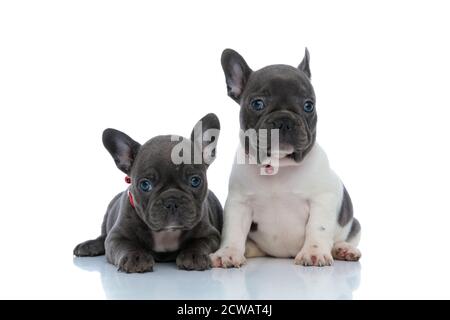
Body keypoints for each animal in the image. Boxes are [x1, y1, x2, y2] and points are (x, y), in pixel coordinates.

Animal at [74, 114, 223, 272]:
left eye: (195, 181)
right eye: (145, 185)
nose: (172, 201)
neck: (166, 233)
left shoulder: (211, 234)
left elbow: (199, 243)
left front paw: (194, 255)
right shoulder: (116, 237)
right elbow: (127, 245)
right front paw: (136, 257)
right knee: (102, 237)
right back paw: (89, 245)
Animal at [209, 48, 360, 268]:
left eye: (308, 106)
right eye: (257, 103)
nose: (284, 120)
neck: (279, 166)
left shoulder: (322, 199)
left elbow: (318, 227)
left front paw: (314, 252)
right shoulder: (239, 203)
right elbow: (233, 231)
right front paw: (228, 253)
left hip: (353, 224)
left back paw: (343, 249)